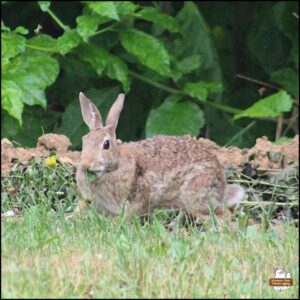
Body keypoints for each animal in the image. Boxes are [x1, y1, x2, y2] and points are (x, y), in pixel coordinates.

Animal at [75, 91, 244, 220]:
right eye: (84, 141)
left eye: (106, 144)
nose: (86, 164)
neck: (114, 166)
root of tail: (220, 181)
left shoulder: (138, 197)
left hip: (195, 196)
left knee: (224, 214)